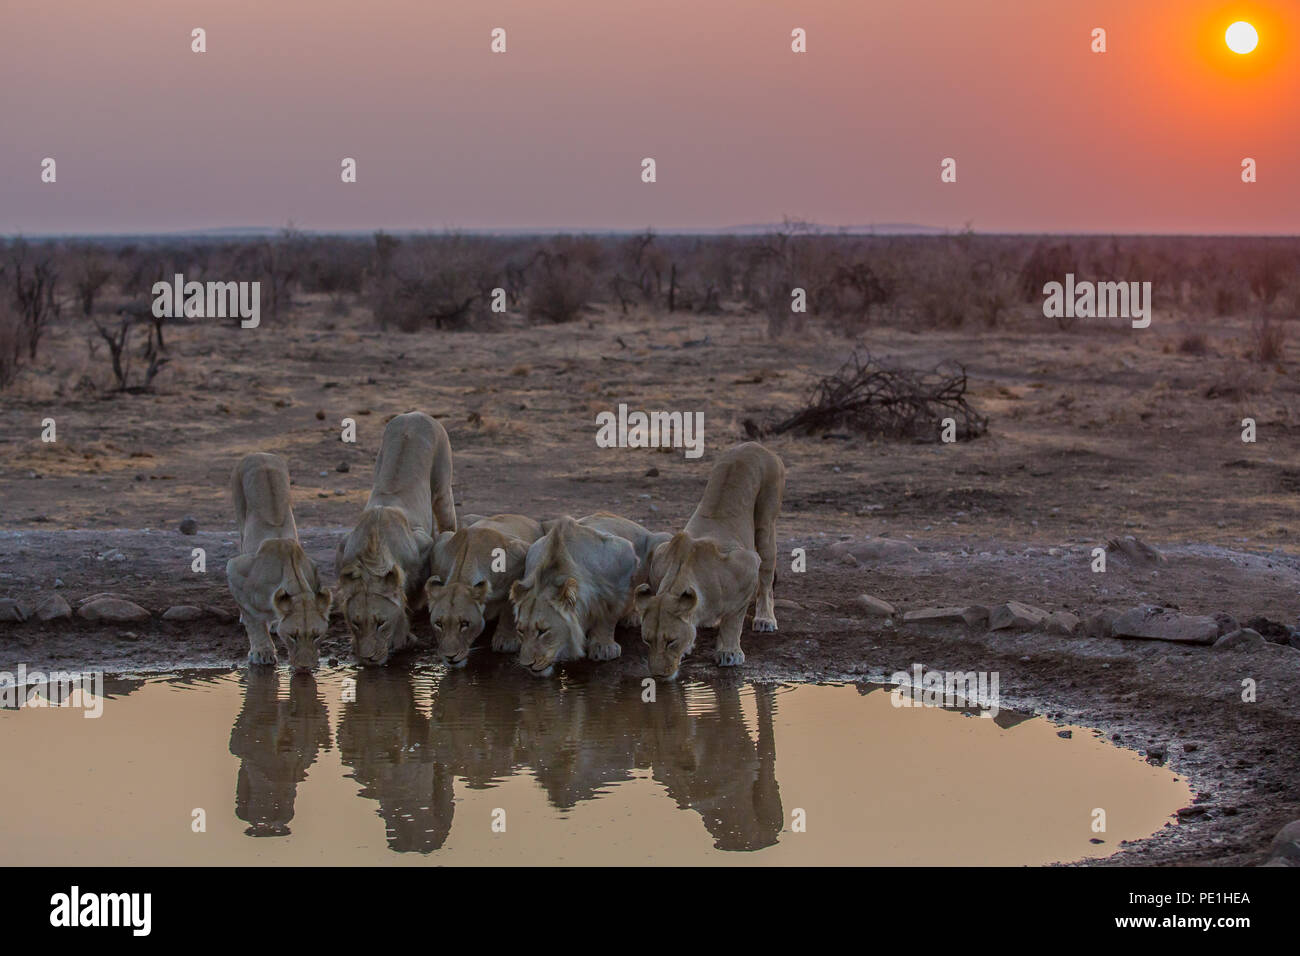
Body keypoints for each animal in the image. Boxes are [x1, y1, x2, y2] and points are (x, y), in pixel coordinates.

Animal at [226, 452, 332, 671]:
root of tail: (258, 453)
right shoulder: (235, 570)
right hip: (239, 510)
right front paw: (262, 653)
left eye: (316, 636)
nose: (305, 667)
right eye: (292, 636)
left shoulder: (312, 570)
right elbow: (253, 621)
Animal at [335, 411, 457, 665]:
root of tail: (415, 414)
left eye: (381, 623)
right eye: (356, 623)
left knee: (447, 518)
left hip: (442, 485)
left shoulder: (422, 546)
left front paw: (402, 636)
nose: (368, 660)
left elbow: (406, 596)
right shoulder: (343, 547)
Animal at [426, 515, 543, 665]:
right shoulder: (439, 548)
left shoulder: (522, 554)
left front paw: (506, 640)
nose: (450, 657)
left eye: (464, 624)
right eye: (439, 624)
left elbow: (510, 604)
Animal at [637, 442, 785, 681]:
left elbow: (734, 619)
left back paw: (765, 619)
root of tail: (754, 445)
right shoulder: (659, 557)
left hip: (766, 520)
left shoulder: (747, 565)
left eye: (671, 641)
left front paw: (729, 653)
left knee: (766, 575)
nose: (658, 675)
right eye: (647, 640)